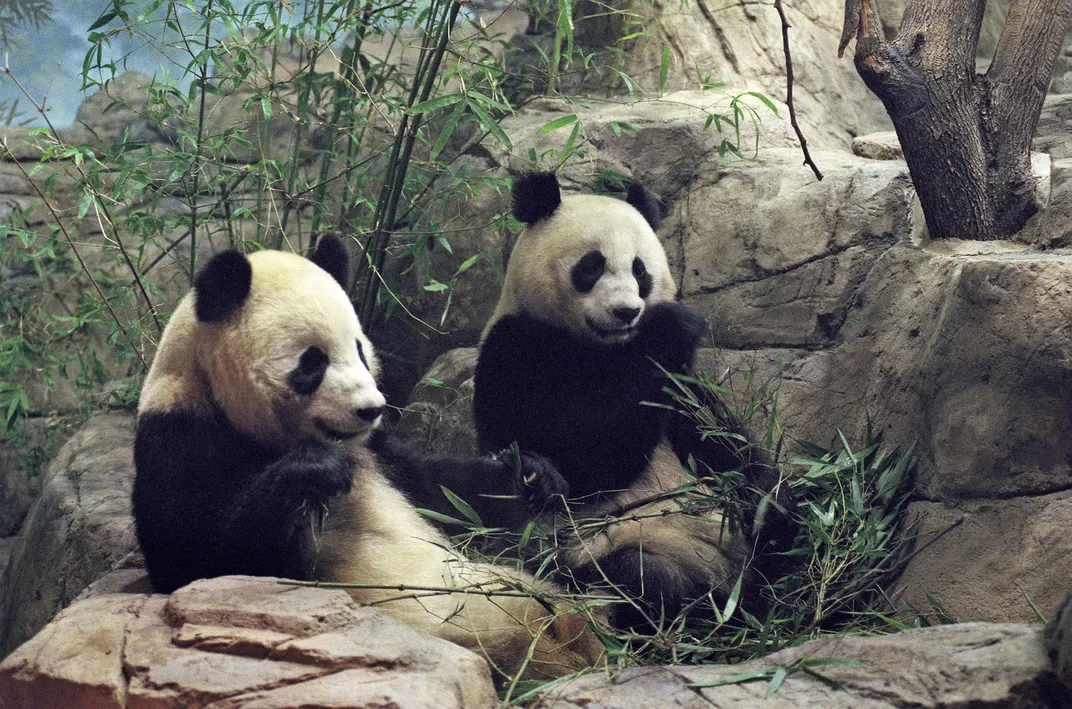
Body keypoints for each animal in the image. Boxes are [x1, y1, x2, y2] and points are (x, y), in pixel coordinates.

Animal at [131, 233, 604, 682]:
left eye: (359, 349)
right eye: (312, 362)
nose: (371, 408)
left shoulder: (377, 451)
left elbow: (442, 487)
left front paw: (532, 473)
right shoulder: (179, 440)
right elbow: (198, 562)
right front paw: (315, 470)